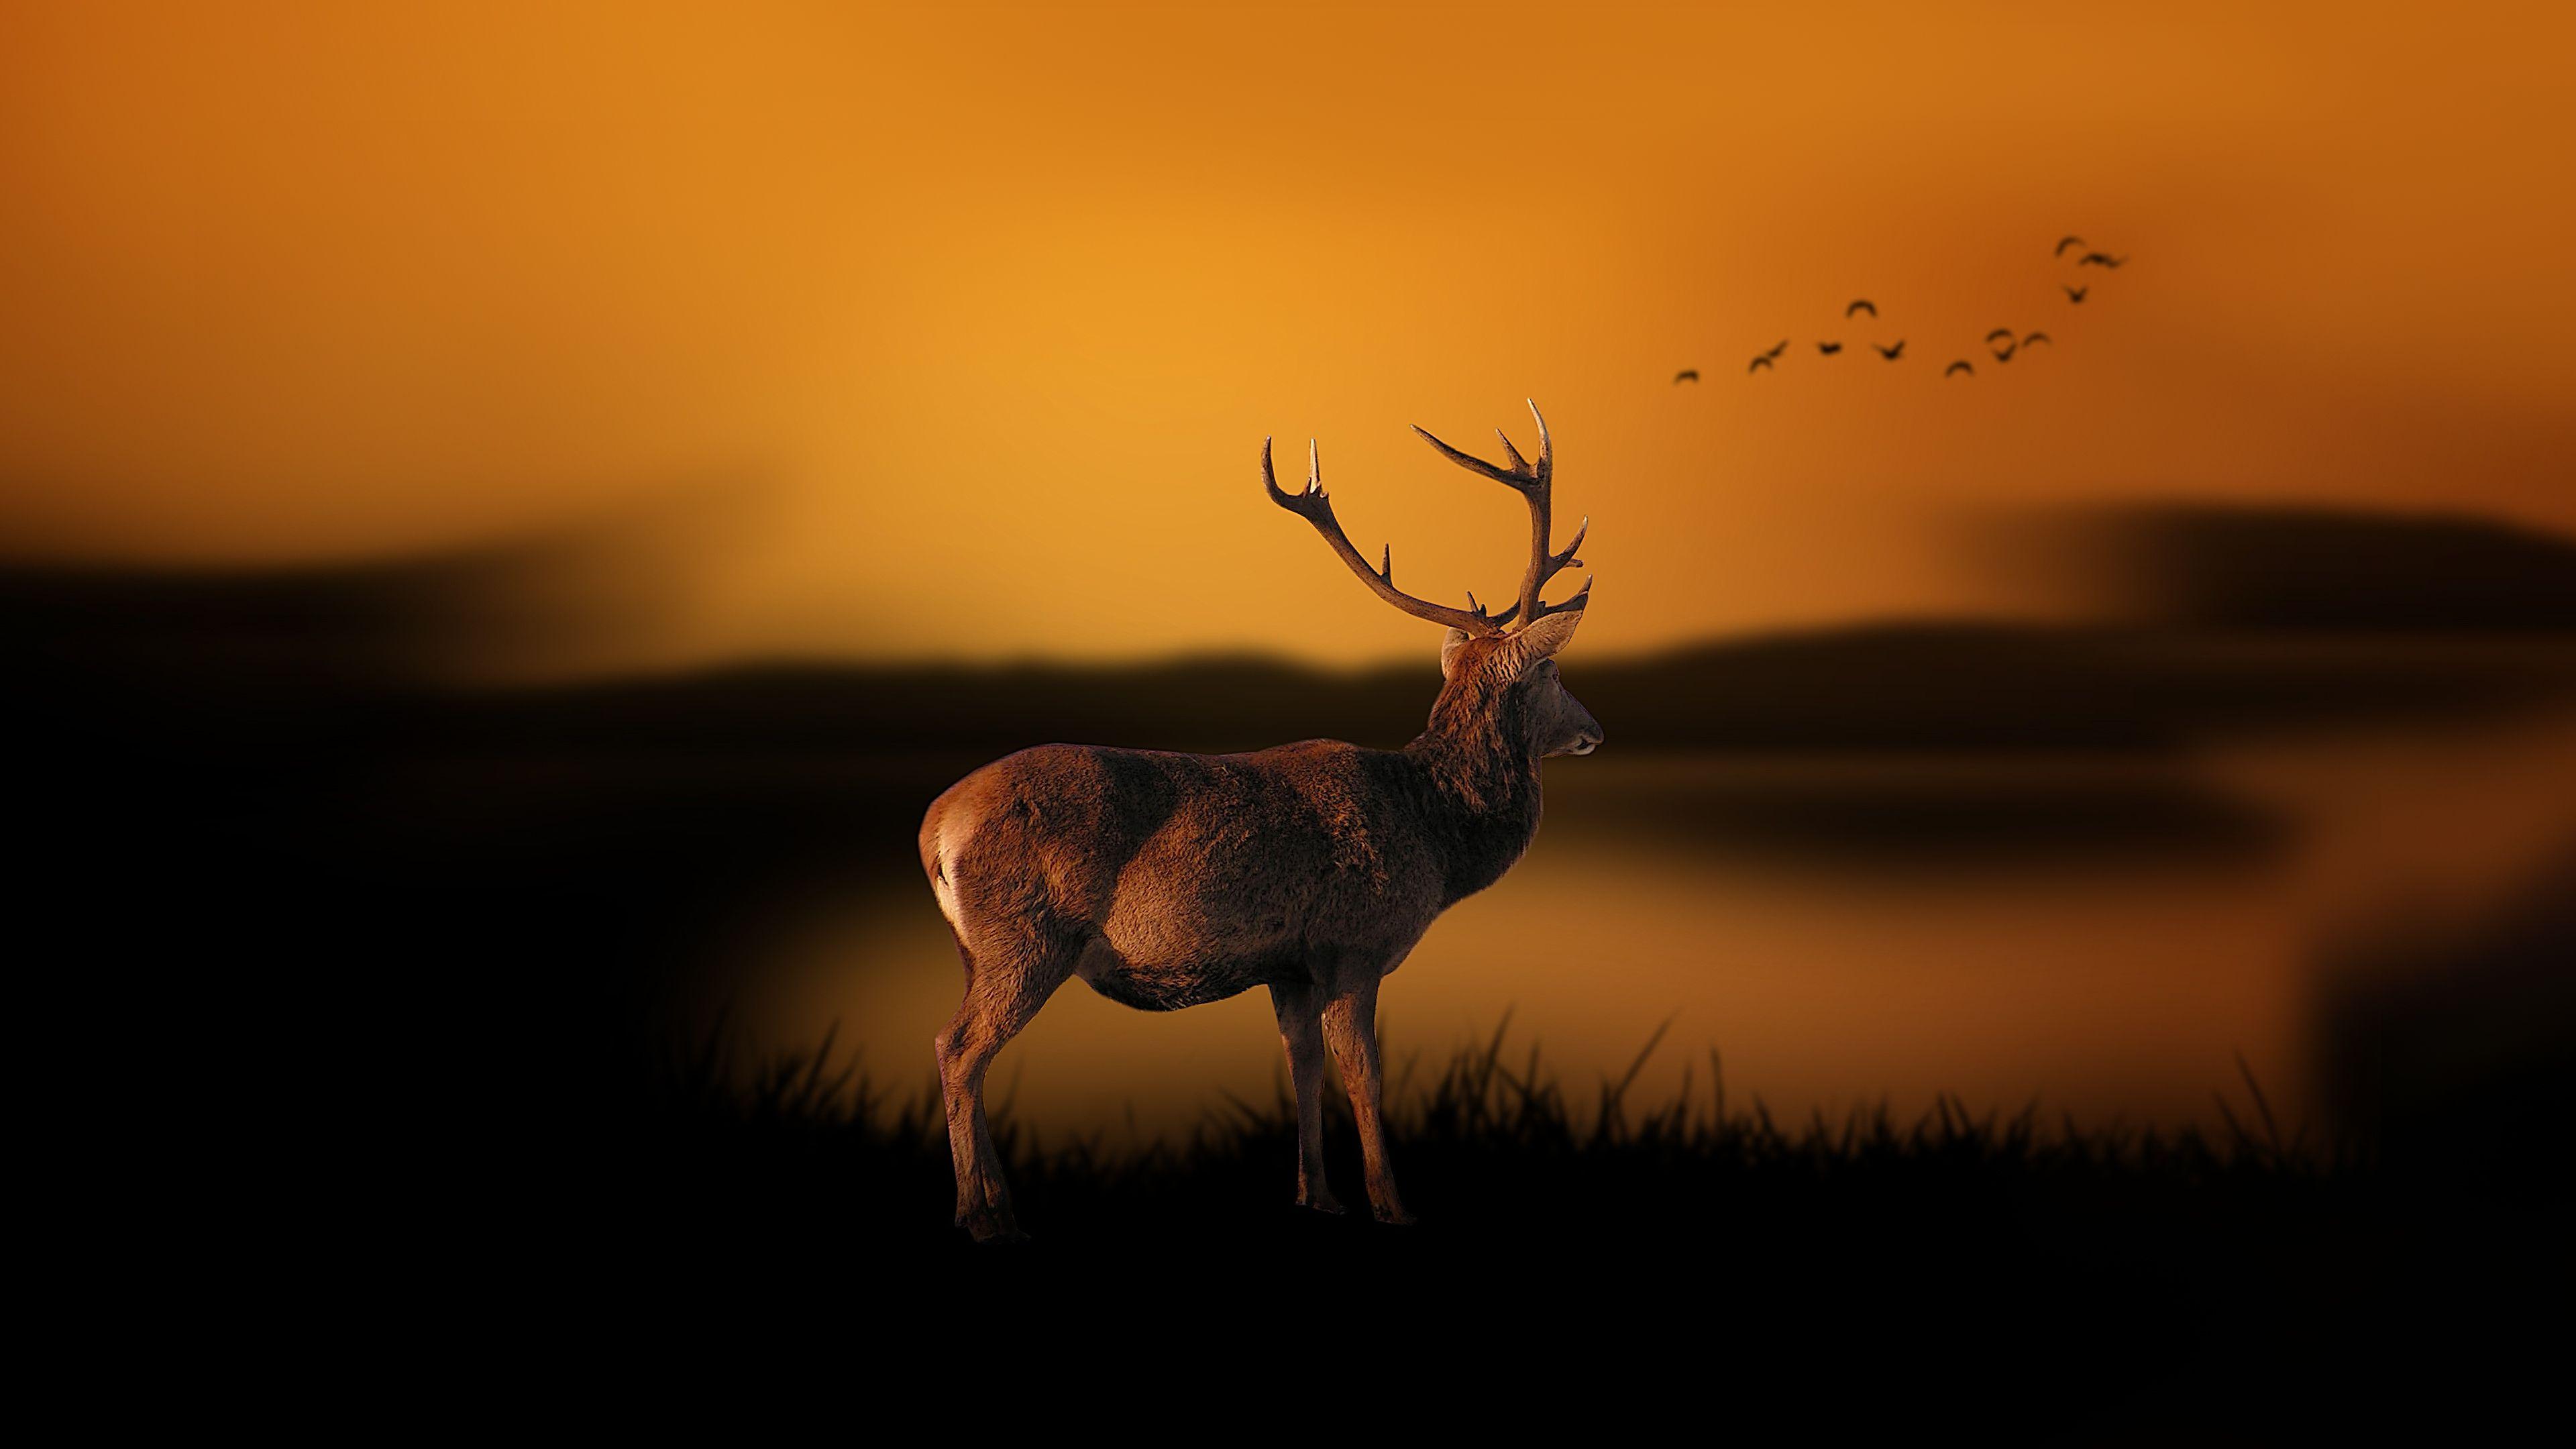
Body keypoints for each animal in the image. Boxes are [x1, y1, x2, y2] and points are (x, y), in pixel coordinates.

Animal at [919, 401, 1602, 1242]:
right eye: (1552, 670)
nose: (1594, 730)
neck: (1437, 838)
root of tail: (935, 825)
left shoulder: (1291, 965)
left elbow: (1302, 1069)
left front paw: (1319, 1195)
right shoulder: (1354, 944)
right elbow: (1365, 1076)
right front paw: (1393, 1204)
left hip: (976, 949)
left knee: (967, 1049)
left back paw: (1001, 1205)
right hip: (1025, 935)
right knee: (959, 1049)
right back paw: (979, 1215)